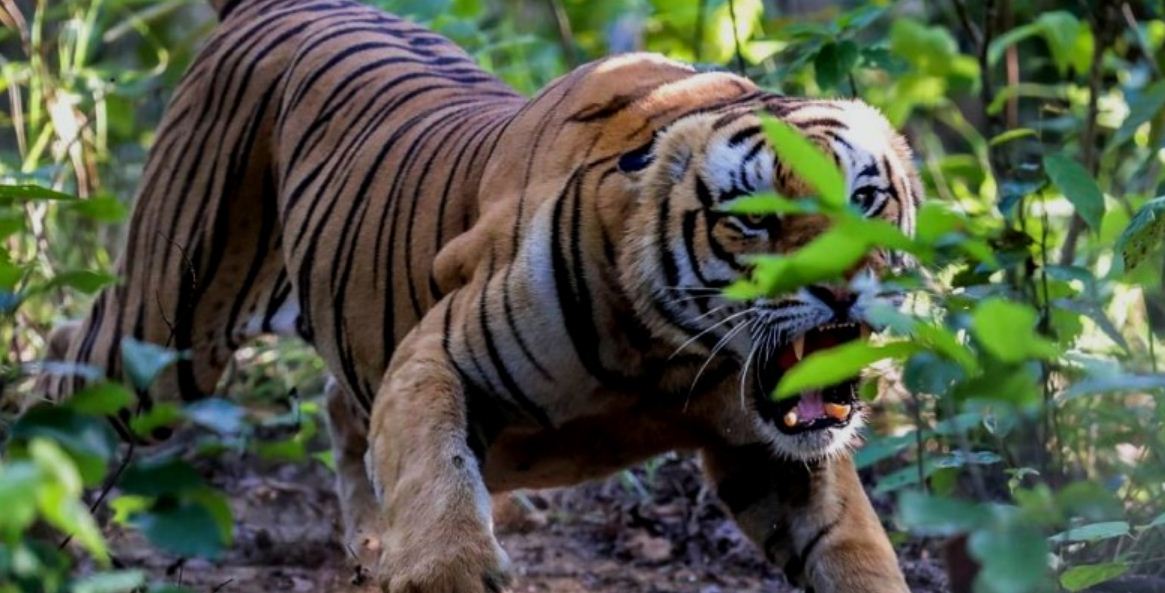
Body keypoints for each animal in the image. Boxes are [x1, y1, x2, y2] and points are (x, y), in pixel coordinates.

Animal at [41, 1, 922, 591]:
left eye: (865, 198)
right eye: (752, 219)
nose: (843, 289)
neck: (670, 359)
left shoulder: (774, 455)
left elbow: (851, 548)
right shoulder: (437, 358)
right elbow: (438, 478)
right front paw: (447, 568)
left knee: (339, 406)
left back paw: (369, 546)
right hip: (161, 341)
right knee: (62, 373)